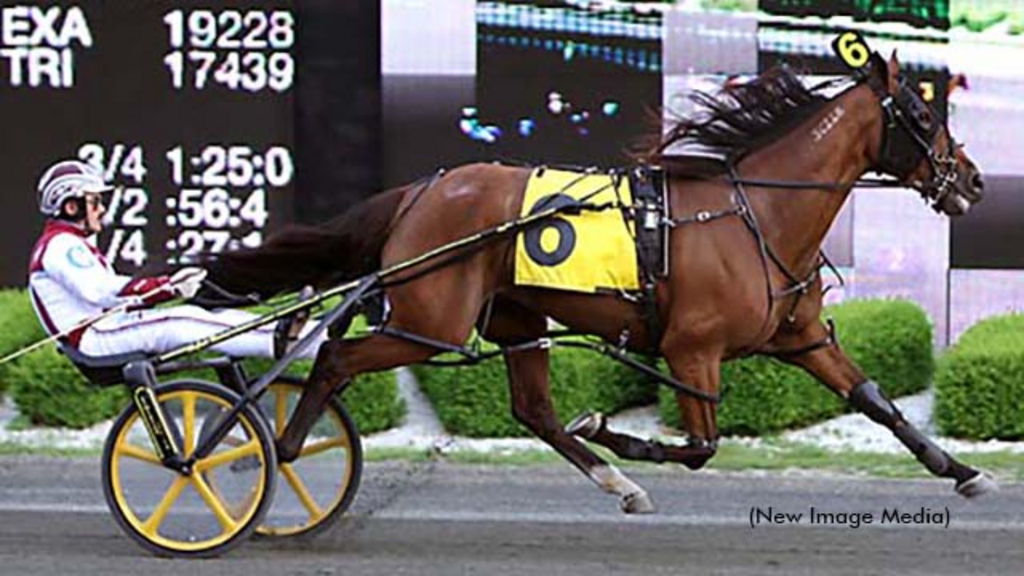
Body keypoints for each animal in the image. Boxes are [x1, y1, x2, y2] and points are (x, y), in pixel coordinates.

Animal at [201, 52, 991, 510]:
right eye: (919, 114)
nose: (974, 181)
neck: (753, 213)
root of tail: (423, 190)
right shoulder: (691, 350)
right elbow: (701, 447)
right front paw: (617, 433)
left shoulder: (798, 337)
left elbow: (876, 400)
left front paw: (960, 469)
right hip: (430, 322)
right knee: (336, 355)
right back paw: (281, 451)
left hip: (514, 320)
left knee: (534, 411)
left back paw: (617, 481)